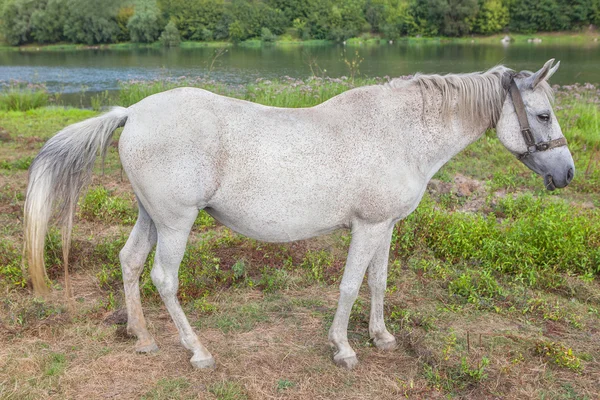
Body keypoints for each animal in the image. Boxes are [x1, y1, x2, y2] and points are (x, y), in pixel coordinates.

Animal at [25, 58, 576, 368]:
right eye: (543, 114)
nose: (567, 173)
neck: (401, 133)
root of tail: (133, 112)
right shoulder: (367, 227)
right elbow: (350, 286)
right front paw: (344, 349)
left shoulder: (386, 228)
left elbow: (378, 282)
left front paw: (381, 337)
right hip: (177, 223)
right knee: (164, 278)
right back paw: (197, 351)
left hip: (151, 217)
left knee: (131, 261)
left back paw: (142, 338)